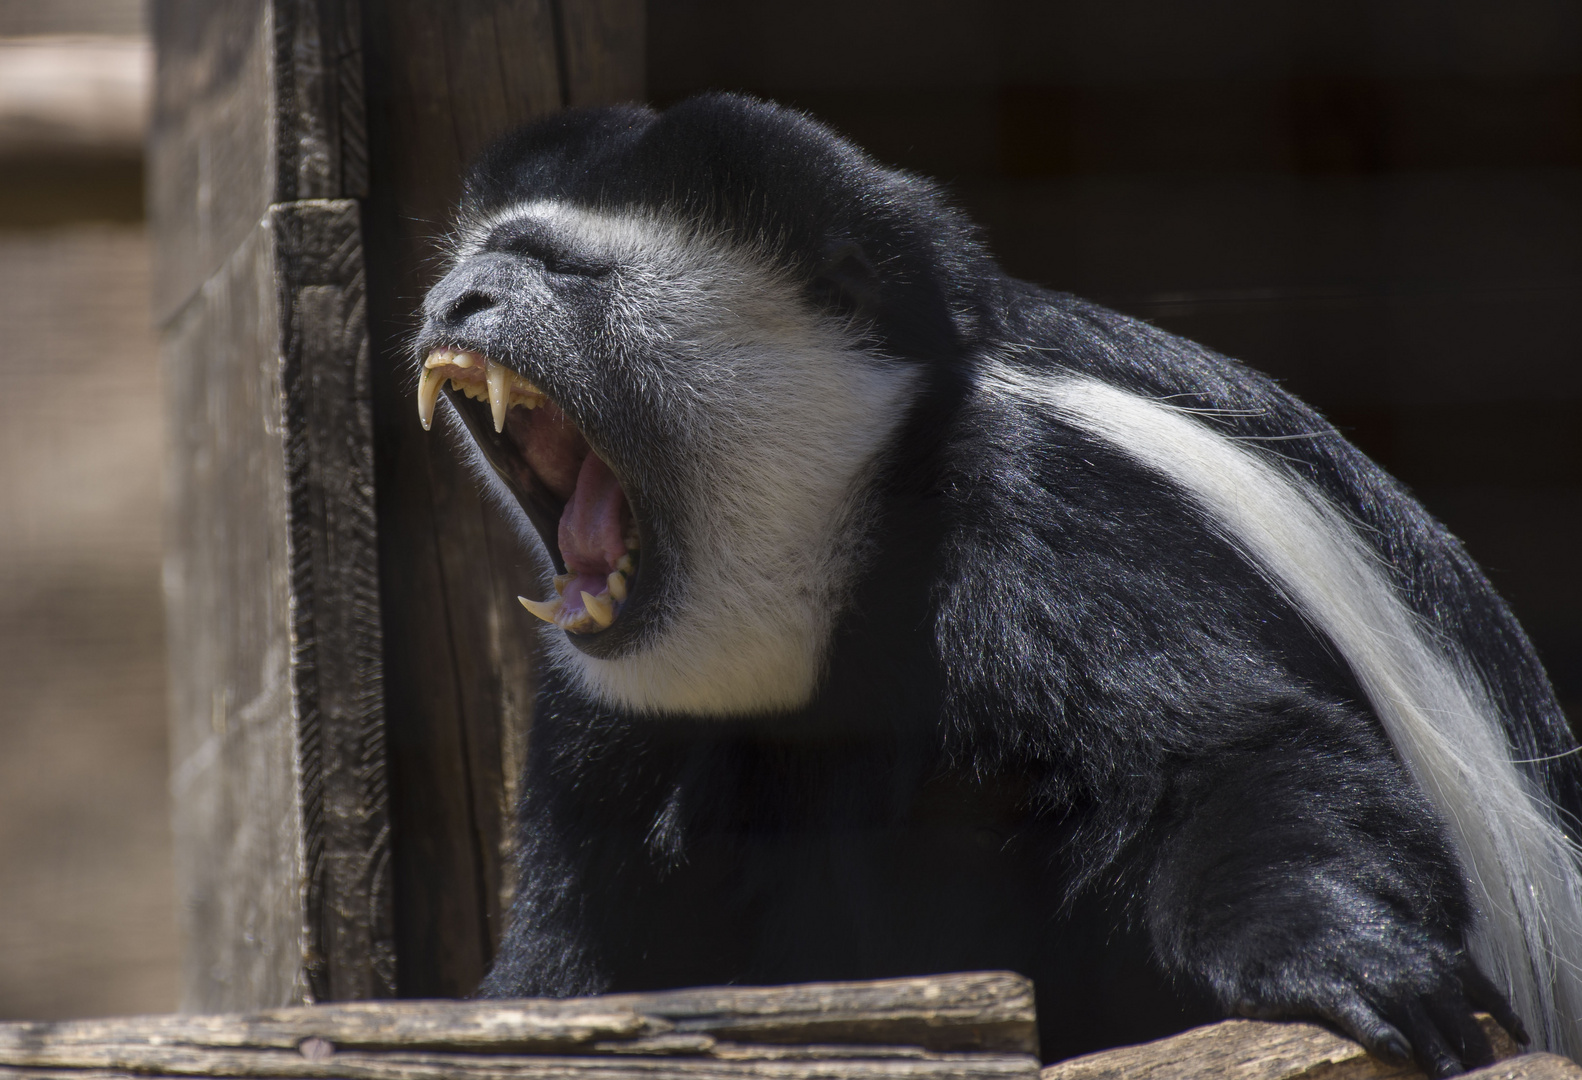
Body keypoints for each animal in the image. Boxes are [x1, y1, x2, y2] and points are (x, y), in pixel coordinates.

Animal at [411, 97, 1582, 1075]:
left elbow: (1232, 757)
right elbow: (582, 941)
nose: (455, 299)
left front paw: (1340, 957)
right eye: (482, 262)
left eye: (559, 268)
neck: (853, 526)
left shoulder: (1053, 513)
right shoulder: (607, 714)